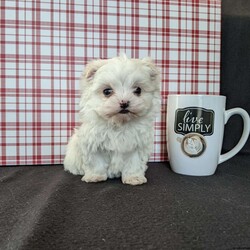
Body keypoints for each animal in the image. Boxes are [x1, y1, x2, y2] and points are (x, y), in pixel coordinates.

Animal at [64, 55, 160, 187]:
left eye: (138, 90)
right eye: (107, 91)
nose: (124, 103)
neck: (119, 123)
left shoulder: (137, 145)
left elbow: (134, 163)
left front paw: (133, 178)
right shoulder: (93, 143)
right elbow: (96, 162)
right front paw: (95, 176)